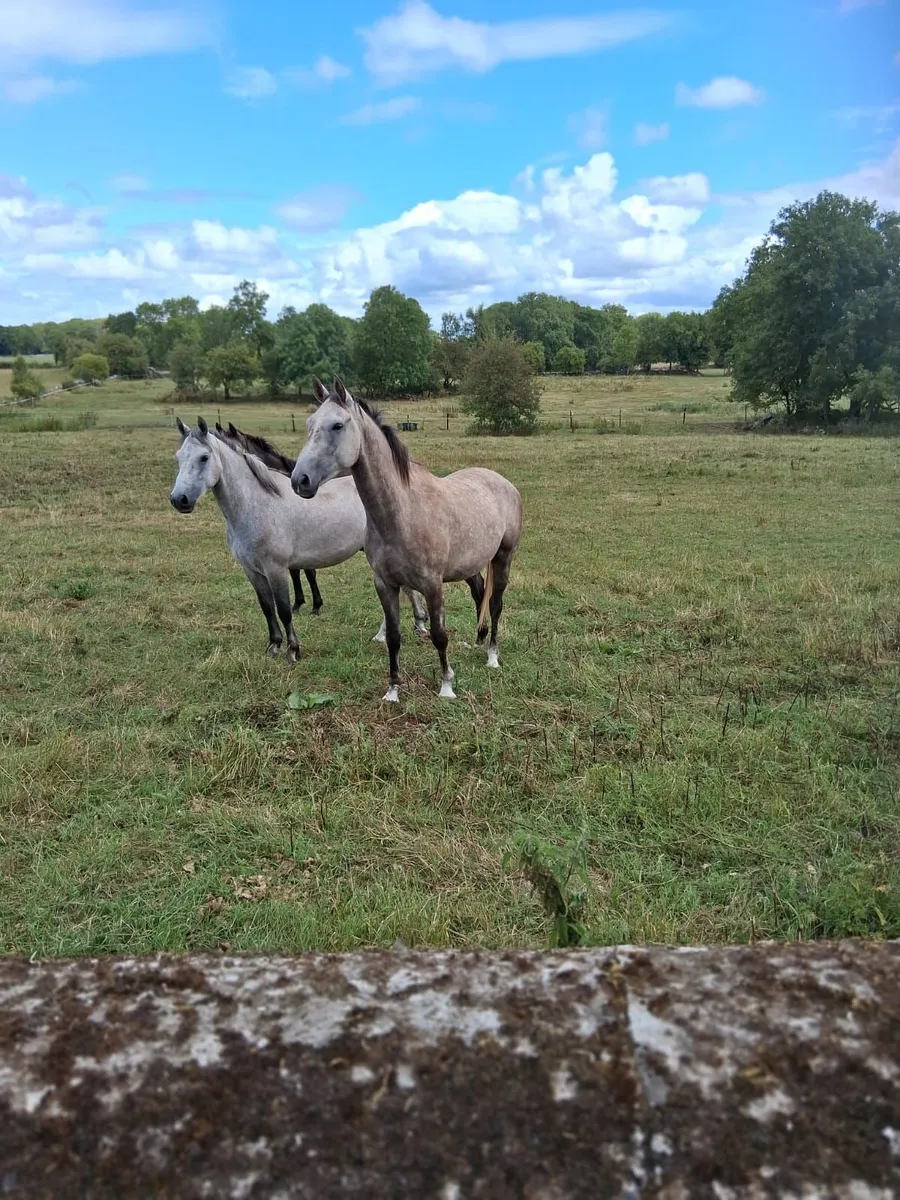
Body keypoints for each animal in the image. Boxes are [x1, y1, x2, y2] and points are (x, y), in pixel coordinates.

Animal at [290, 378, 523, 702]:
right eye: (309, 424)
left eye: (337, 425)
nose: (300, 480)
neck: (401, 512)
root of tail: (504, 483)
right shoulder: (385, 584)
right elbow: (394, 637)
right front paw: (393, 690)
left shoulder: (432, 585)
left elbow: (439, 635)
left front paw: (446, 686)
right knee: (482, 596)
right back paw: (478, 643)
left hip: (503, 557)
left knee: (497, 603)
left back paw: (492, 657)